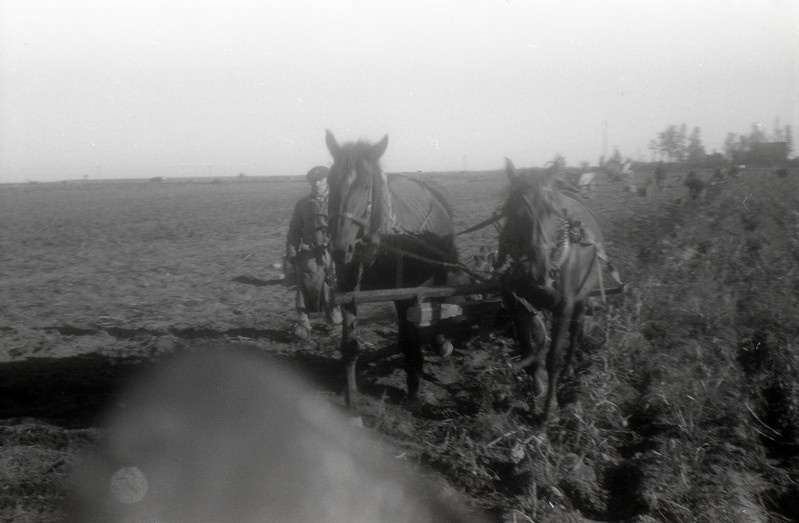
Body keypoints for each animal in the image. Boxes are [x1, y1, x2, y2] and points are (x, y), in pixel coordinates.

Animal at [324, 129, 460, 408]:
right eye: (331, 180)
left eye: (366, 185)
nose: (340, 249)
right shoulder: (348, 292)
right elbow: (350, 343)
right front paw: (352, 397)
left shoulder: (401, 294)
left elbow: (406, 339)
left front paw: (413, 387)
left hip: (438, 269)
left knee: (439, 301)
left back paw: (440, 344)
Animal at [500, 159, 608, 422]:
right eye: (517, 213)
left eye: (553, 211)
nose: (541, 271)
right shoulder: (518, 304)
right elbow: (529, 349)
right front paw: (536, 387)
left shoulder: (564, 305)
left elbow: (553, 358)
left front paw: (551, 408)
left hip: (582, 296)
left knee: (576, 328)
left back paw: (570, 368)